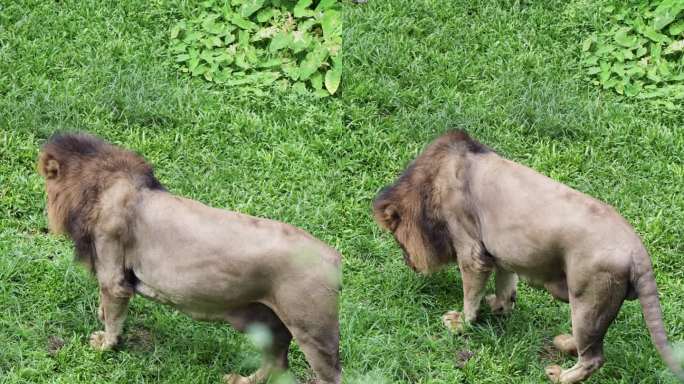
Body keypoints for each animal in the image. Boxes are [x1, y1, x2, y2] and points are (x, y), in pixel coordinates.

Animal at [37, 133, 342, 384]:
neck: (101, 186)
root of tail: (334, 257)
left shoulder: (114, 275)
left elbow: (113, 316)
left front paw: (104, 344)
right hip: (267, 321)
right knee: (277, 361)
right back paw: (240, 380)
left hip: (314, 333)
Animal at [374, 130, 684, 382]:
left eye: (398, 240)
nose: (409, 263)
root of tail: (637, 248)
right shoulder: (499, 251)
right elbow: (505, 284)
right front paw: (499, 306)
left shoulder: (471, 250)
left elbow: (470, 295)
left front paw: (461, 323)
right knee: (591, 344)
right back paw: (565, 343)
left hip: (588, 298)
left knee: (593, 358)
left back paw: (559, 375)